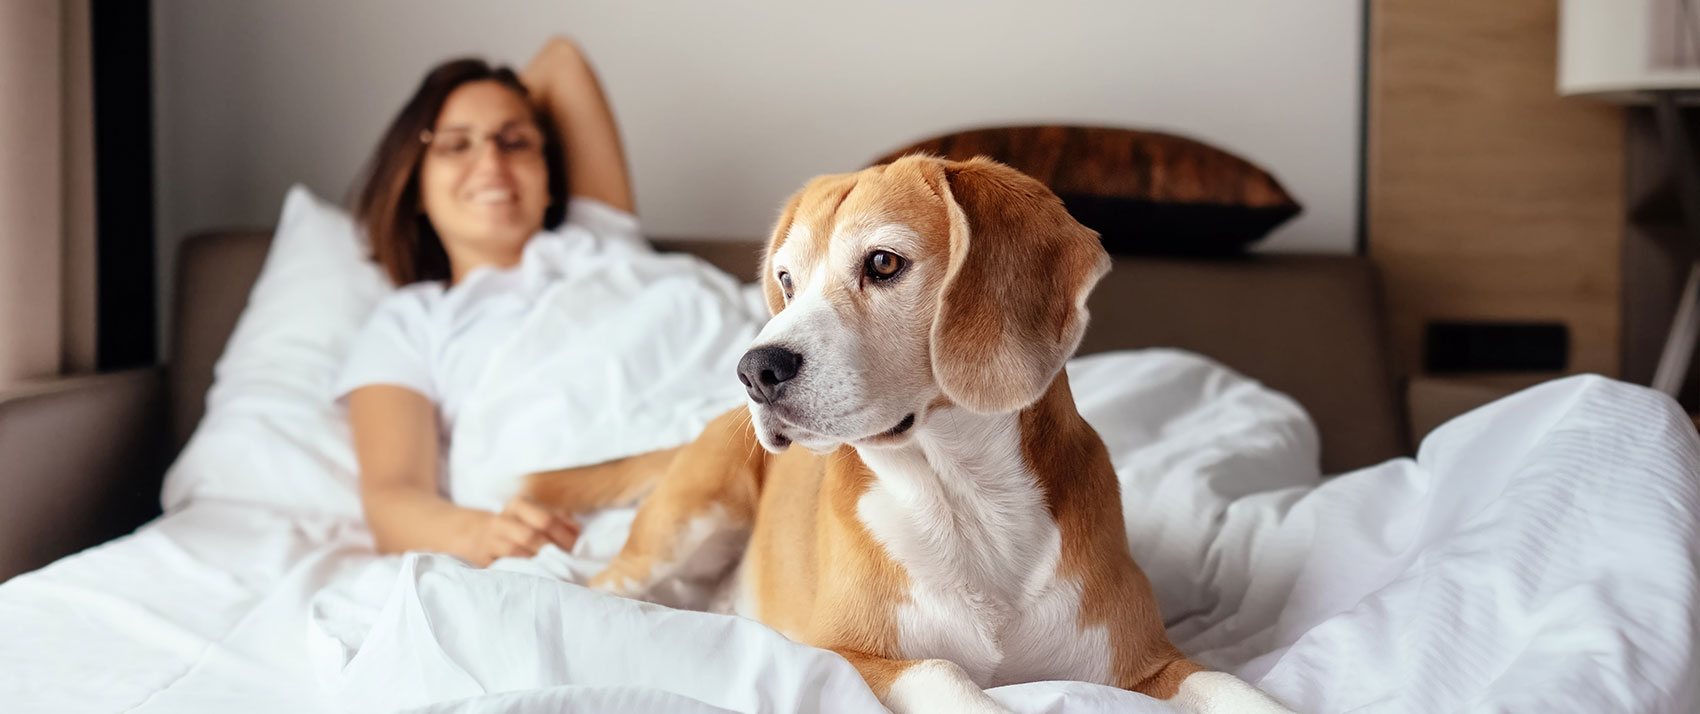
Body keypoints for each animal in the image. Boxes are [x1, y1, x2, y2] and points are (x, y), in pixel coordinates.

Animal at [523, 156, 1292, 714]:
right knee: (601, 582)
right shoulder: (842, 654)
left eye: (884, 263)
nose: (753, 370)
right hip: (685, 523)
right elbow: (945, 672)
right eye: (786, 280)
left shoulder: (1151, 663)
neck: (965, 499)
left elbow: (1229, 684)